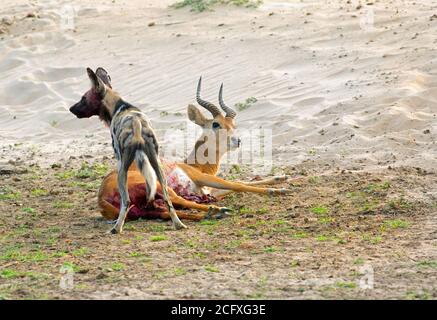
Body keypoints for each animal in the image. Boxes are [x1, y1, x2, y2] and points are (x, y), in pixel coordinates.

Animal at [98, 75, 290, 222]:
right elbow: (238, 184)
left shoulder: (208, 189)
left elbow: (242, 183)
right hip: (163, 188)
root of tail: (102, 197)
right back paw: (218, 210)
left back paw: (212, 214)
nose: (237, 141)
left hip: (147, 207)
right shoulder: (202, 178)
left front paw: (281, 178)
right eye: (216, 124)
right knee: (181, 203)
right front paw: (278, 190)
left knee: (167, 212)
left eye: (233, 124)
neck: (193, 165)